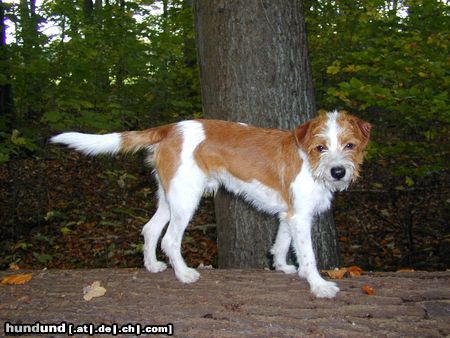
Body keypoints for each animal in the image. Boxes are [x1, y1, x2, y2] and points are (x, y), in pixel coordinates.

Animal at [51, 111, 370, 298]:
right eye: (321, 147)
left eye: (350, 145)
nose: (338, 172)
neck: (309, 161)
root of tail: (171, 128)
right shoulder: (300, 216)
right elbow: (309, 254)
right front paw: (319, 285)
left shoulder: (288, 214)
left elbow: (281, 244)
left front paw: (284, 268)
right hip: (185, 200)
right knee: (169, 239)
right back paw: (184, 274)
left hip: (169, 197)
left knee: (150, 229)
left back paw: (152, 266)